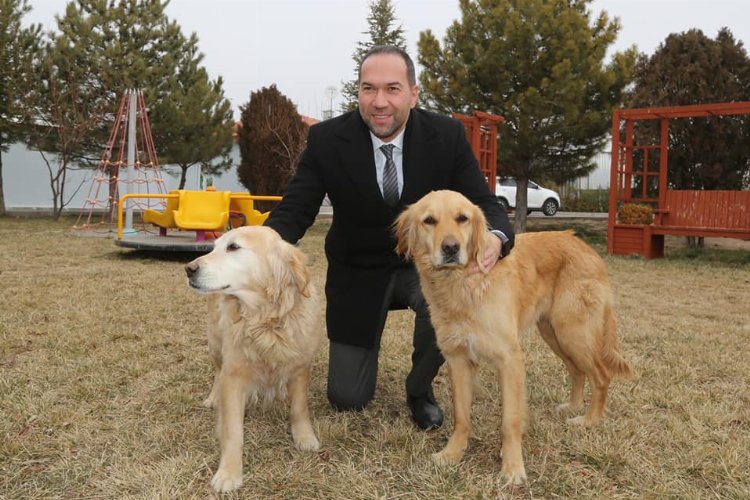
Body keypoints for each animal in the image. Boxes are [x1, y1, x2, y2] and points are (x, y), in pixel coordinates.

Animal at [394, 190, 636, 484]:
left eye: (462, 218)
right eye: (429, 220)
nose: (451, 248)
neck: (464, 285)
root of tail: (584, 246)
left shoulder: (509, 360)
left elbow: (509, 421)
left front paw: (512, 468)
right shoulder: (458, 360)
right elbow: (461, 417)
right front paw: (453, 454)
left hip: (572, 331)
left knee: (601, 375)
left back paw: (589, 421)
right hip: (554, 333)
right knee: (577, 371)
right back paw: (573, 407)